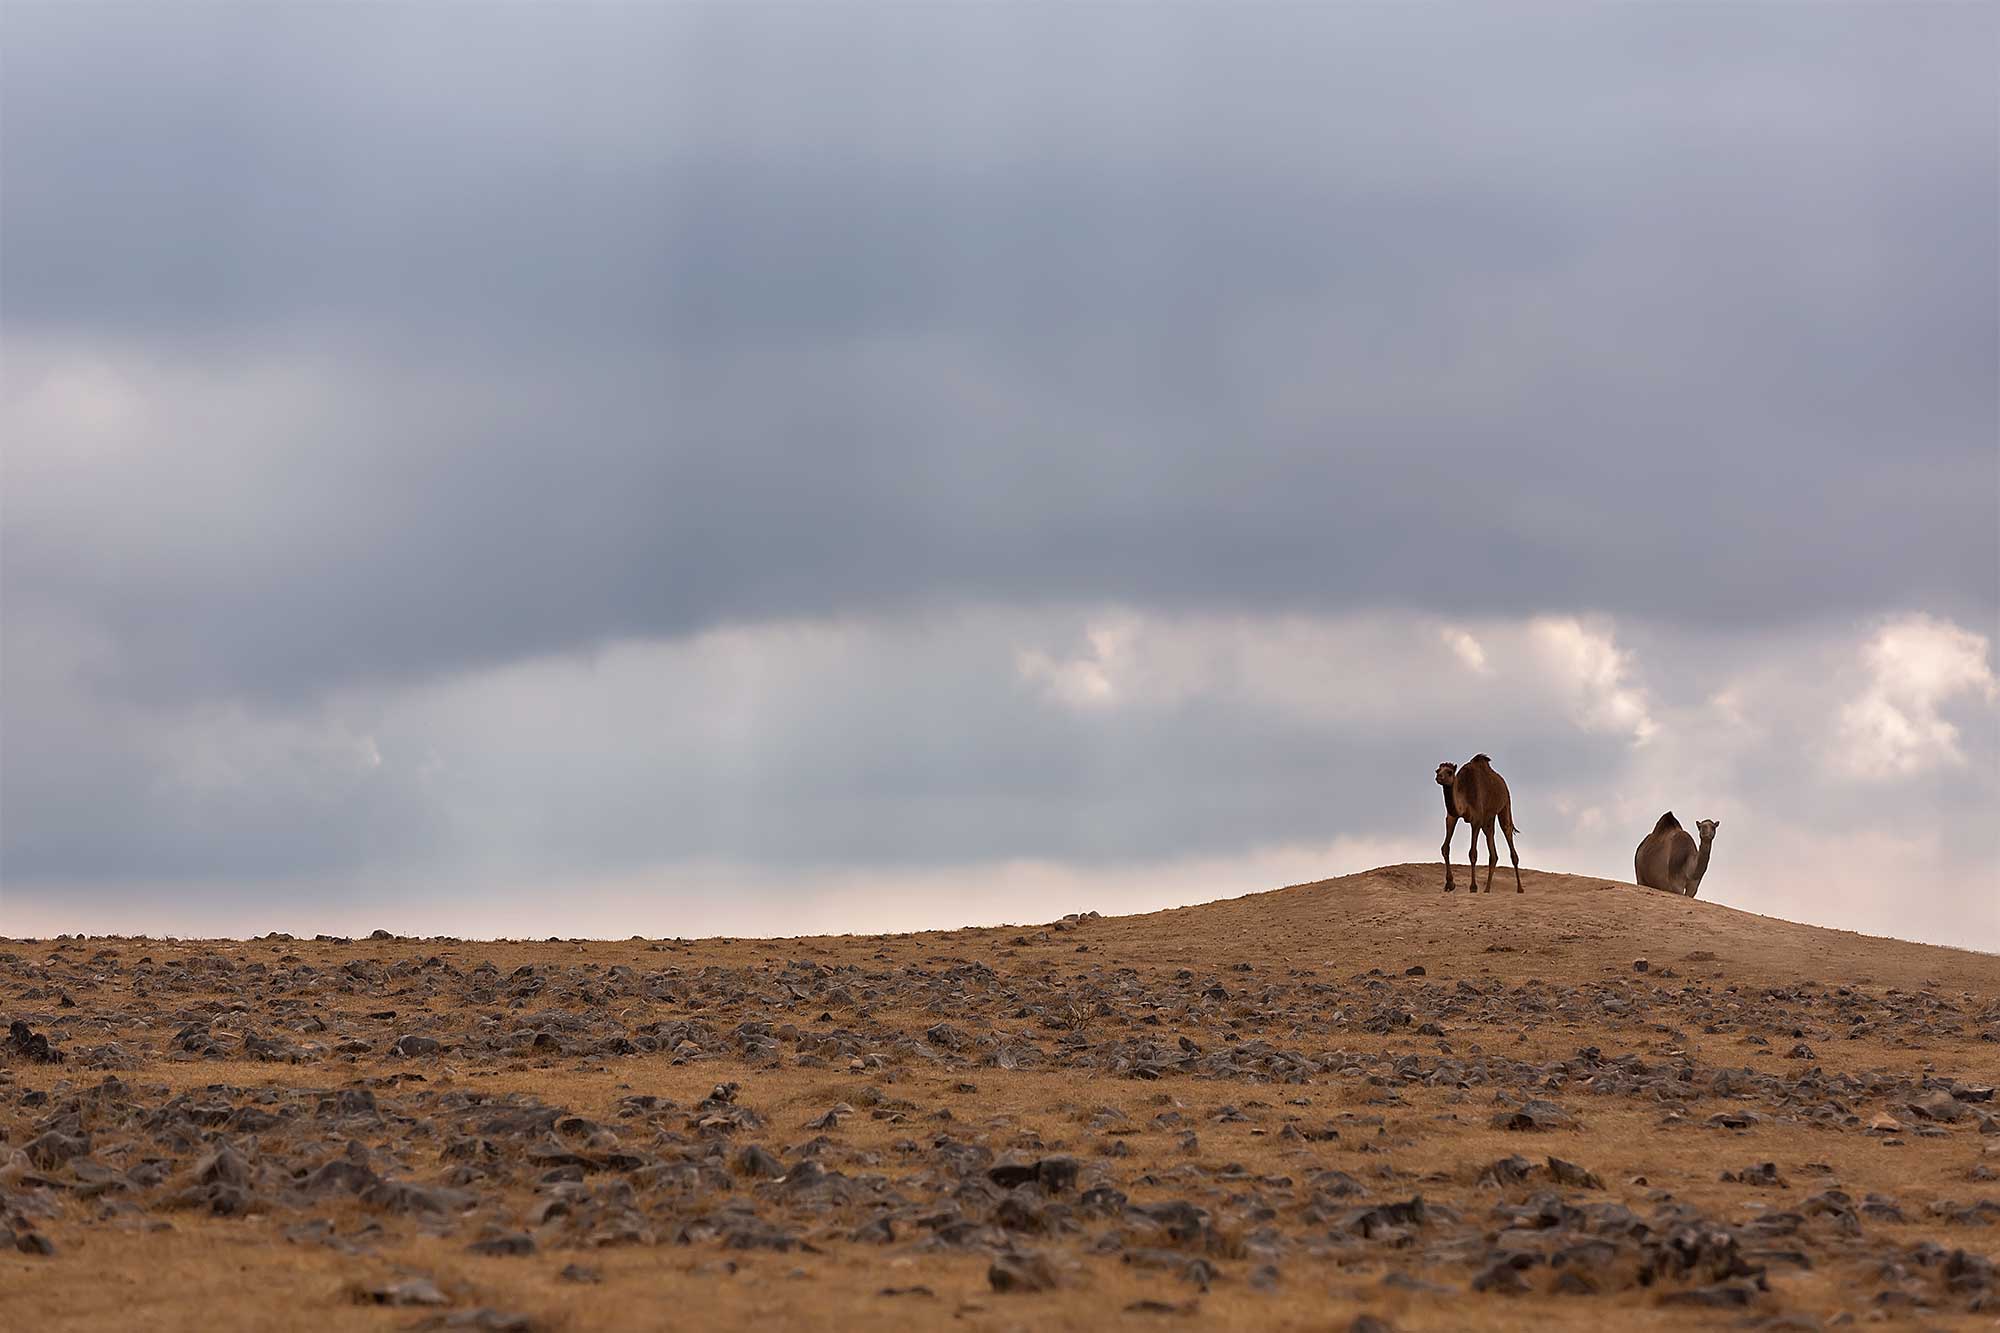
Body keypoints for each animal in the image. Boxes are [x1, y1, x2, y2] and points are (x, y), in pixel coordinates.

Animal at [1432, 748, 1520, 892]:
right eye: (1437, 770)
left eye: (1449, 772)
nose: (1439, 777)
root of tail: (1502, 782)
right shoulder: (1452, 816)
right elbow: (1445, 847)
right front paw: (1449, 884)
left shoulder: (1476, 820)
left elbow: (1472, 853)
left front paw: (1473, 887)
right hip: (1488, 818)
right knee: (1492, 847)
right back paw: (1487, 889)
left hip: (1505, 804)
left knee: (1507, 830)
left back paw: (1520, 888)